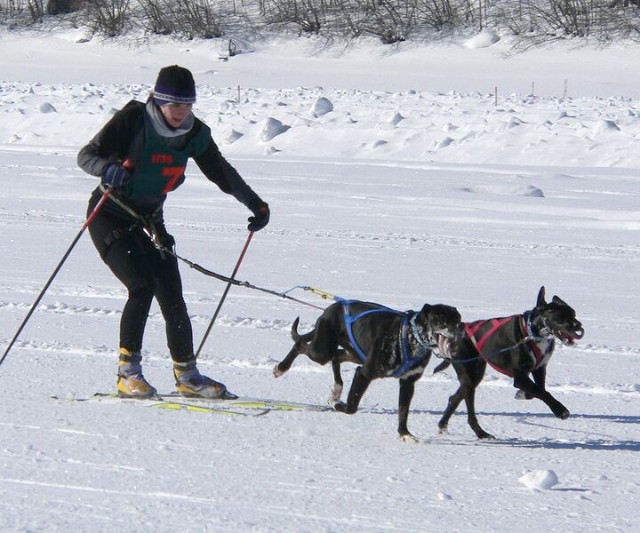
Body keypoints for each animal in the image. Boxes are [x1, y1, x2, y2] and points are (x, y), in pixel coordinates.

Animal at [436, 284, 584, 438]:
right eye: (560, 316)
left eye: (573, 313)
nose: (578, 325)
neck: (532, 332)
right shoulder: (519, 377)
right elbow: (542, 392)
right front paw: (560, 410)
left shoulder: (539, 369)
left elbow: (539, 390)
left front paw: (523, 394)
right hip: (468, 374)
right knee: (470, 412)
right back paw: (481, 433)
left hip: (475, 374)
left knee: (455, 398)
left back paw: (443, 424)